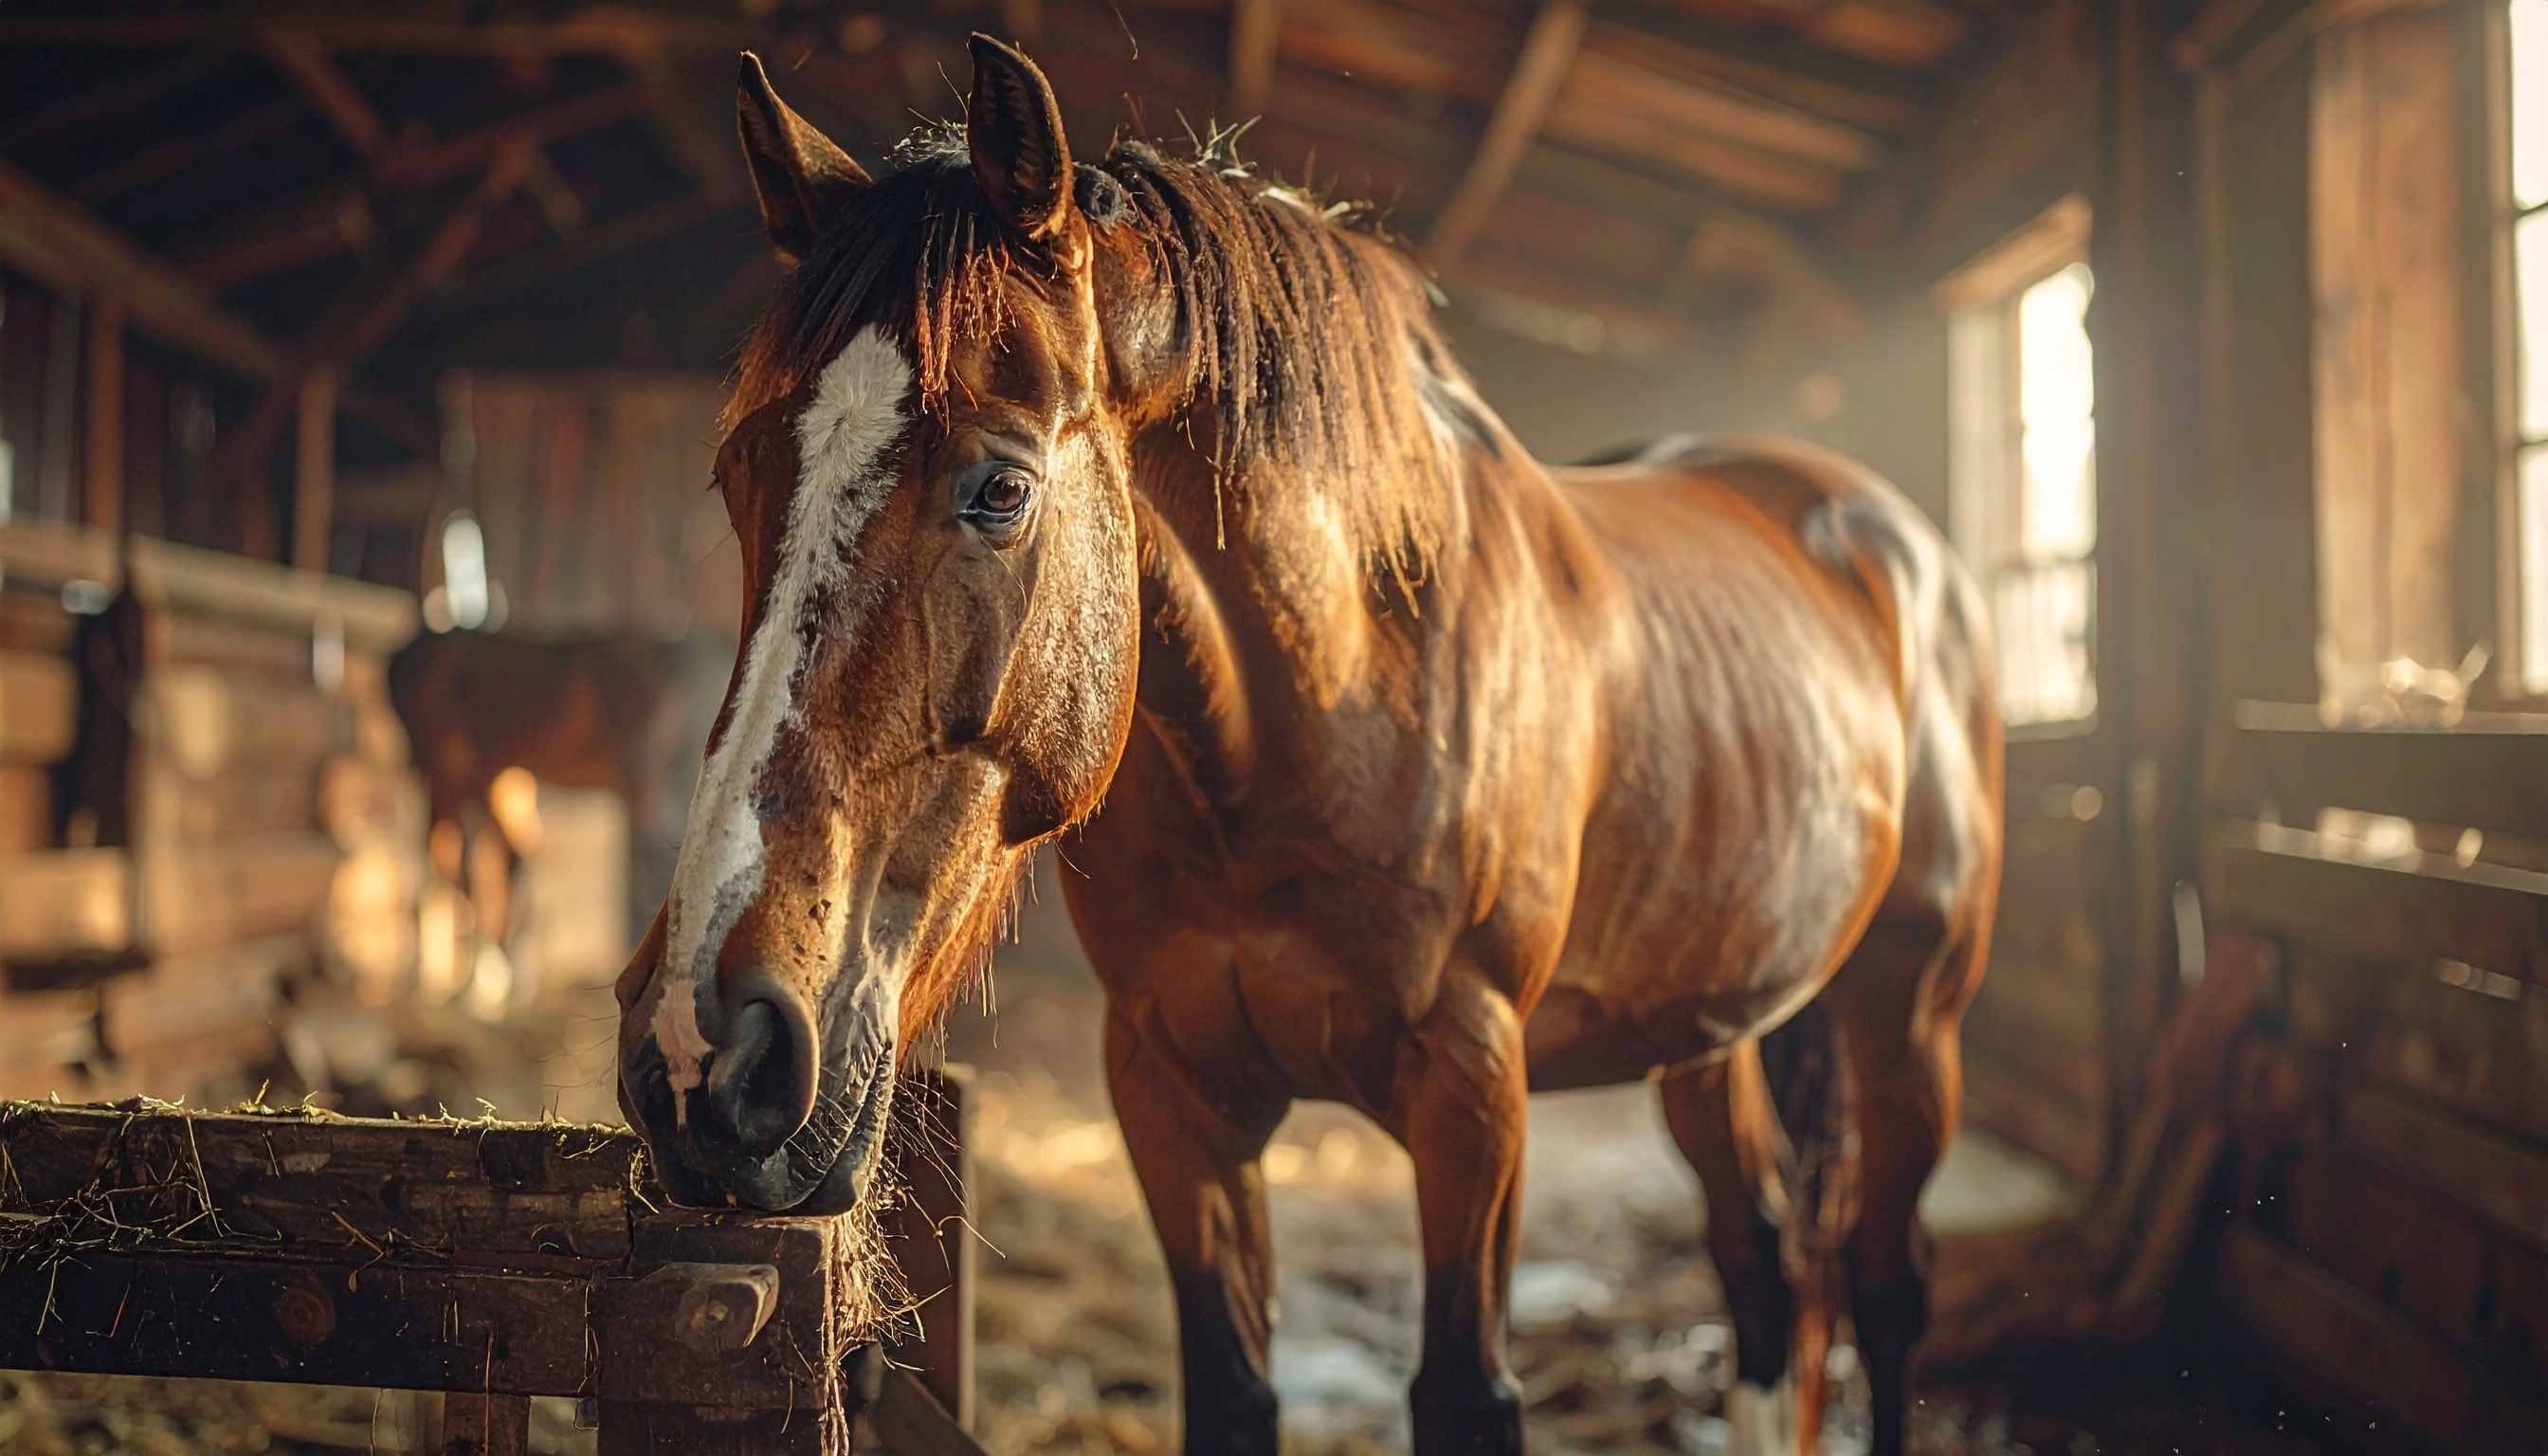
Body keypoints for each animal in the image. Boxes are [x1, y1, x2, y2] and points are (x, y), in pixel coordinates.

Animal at [614, 40, 2002, 1456]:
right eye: (736, 477)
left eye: (1000, 488)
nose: (701, 1047)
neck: (1313, 719)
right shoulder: (1172, 1095)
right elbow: (1232, 1386)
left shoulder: (1472, 1090)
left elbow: (1463, 1393)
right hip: (1707, 1028)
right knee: (1764, 1257)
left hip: (1910, 1016)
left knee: (1885, 1281)